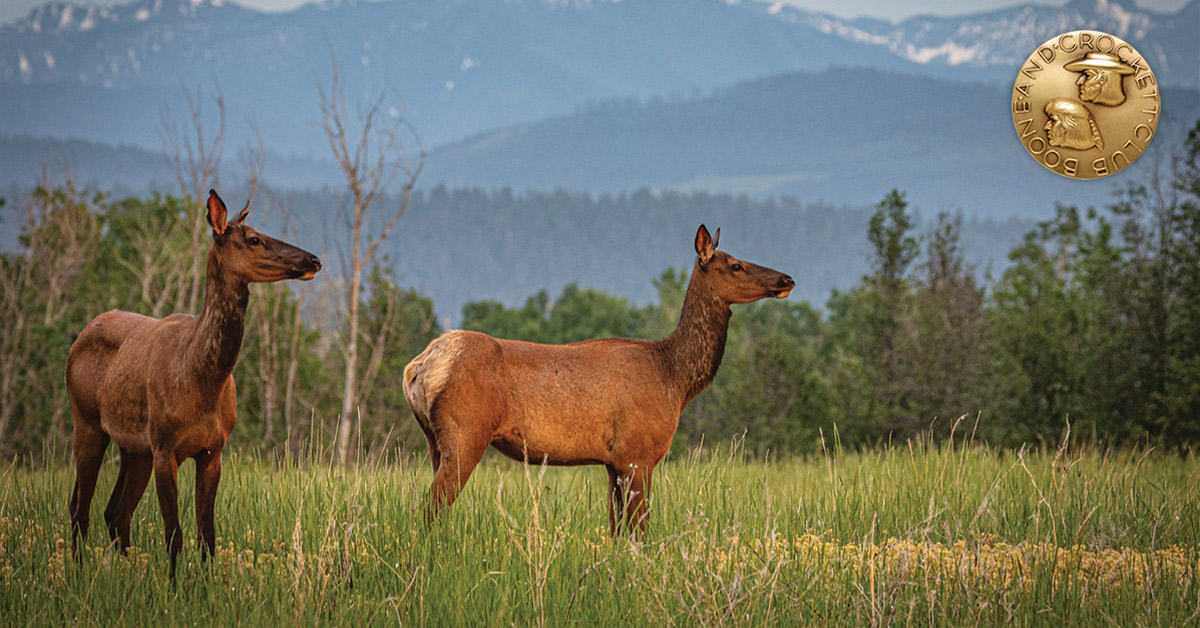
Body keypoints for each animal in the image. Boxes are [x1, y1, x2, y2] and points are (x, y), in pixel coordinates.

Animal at [65, 190, 321, 580]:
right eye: (254, 239)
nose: (313, 259)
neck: (202, 380)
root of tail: (78, 339)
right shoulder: (165, 446)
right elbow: (174, 533)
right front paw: (174, 587)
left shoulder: (213, 449)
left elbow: (207, 533)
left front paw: (205, 584)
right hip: (88, 422)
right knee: (81, 510)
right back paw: (79, 574)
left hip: (133, 447)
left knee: (114, 512)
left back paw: (127, 573)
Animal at [403, 224, 794, 536]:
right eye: (736, 265)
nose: (786, 279)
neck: (675, 379)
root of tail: (419, 366)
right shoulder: (638, 453)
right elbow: (639, 531)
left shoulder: (612, 461)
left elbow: (616, 530)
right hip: (466, 433)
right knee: (430, 509)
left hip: (434, 440)